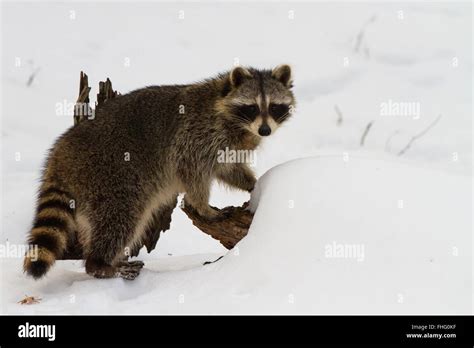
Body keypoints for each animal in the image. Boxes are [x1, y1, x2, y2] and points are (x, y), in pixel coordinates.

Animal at [25, 64, 296, 280]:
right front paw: (203, 206)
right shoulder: (195, 138)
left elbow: (228, 169)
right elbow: (193, 175)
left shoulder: (228, 146)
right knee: (121, 217)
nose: (264, 130)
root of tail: (60, 156)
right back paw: (101, 264)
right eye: (251, 108)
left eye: (274, 107)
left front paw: (253, 184)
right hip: (110, 176)